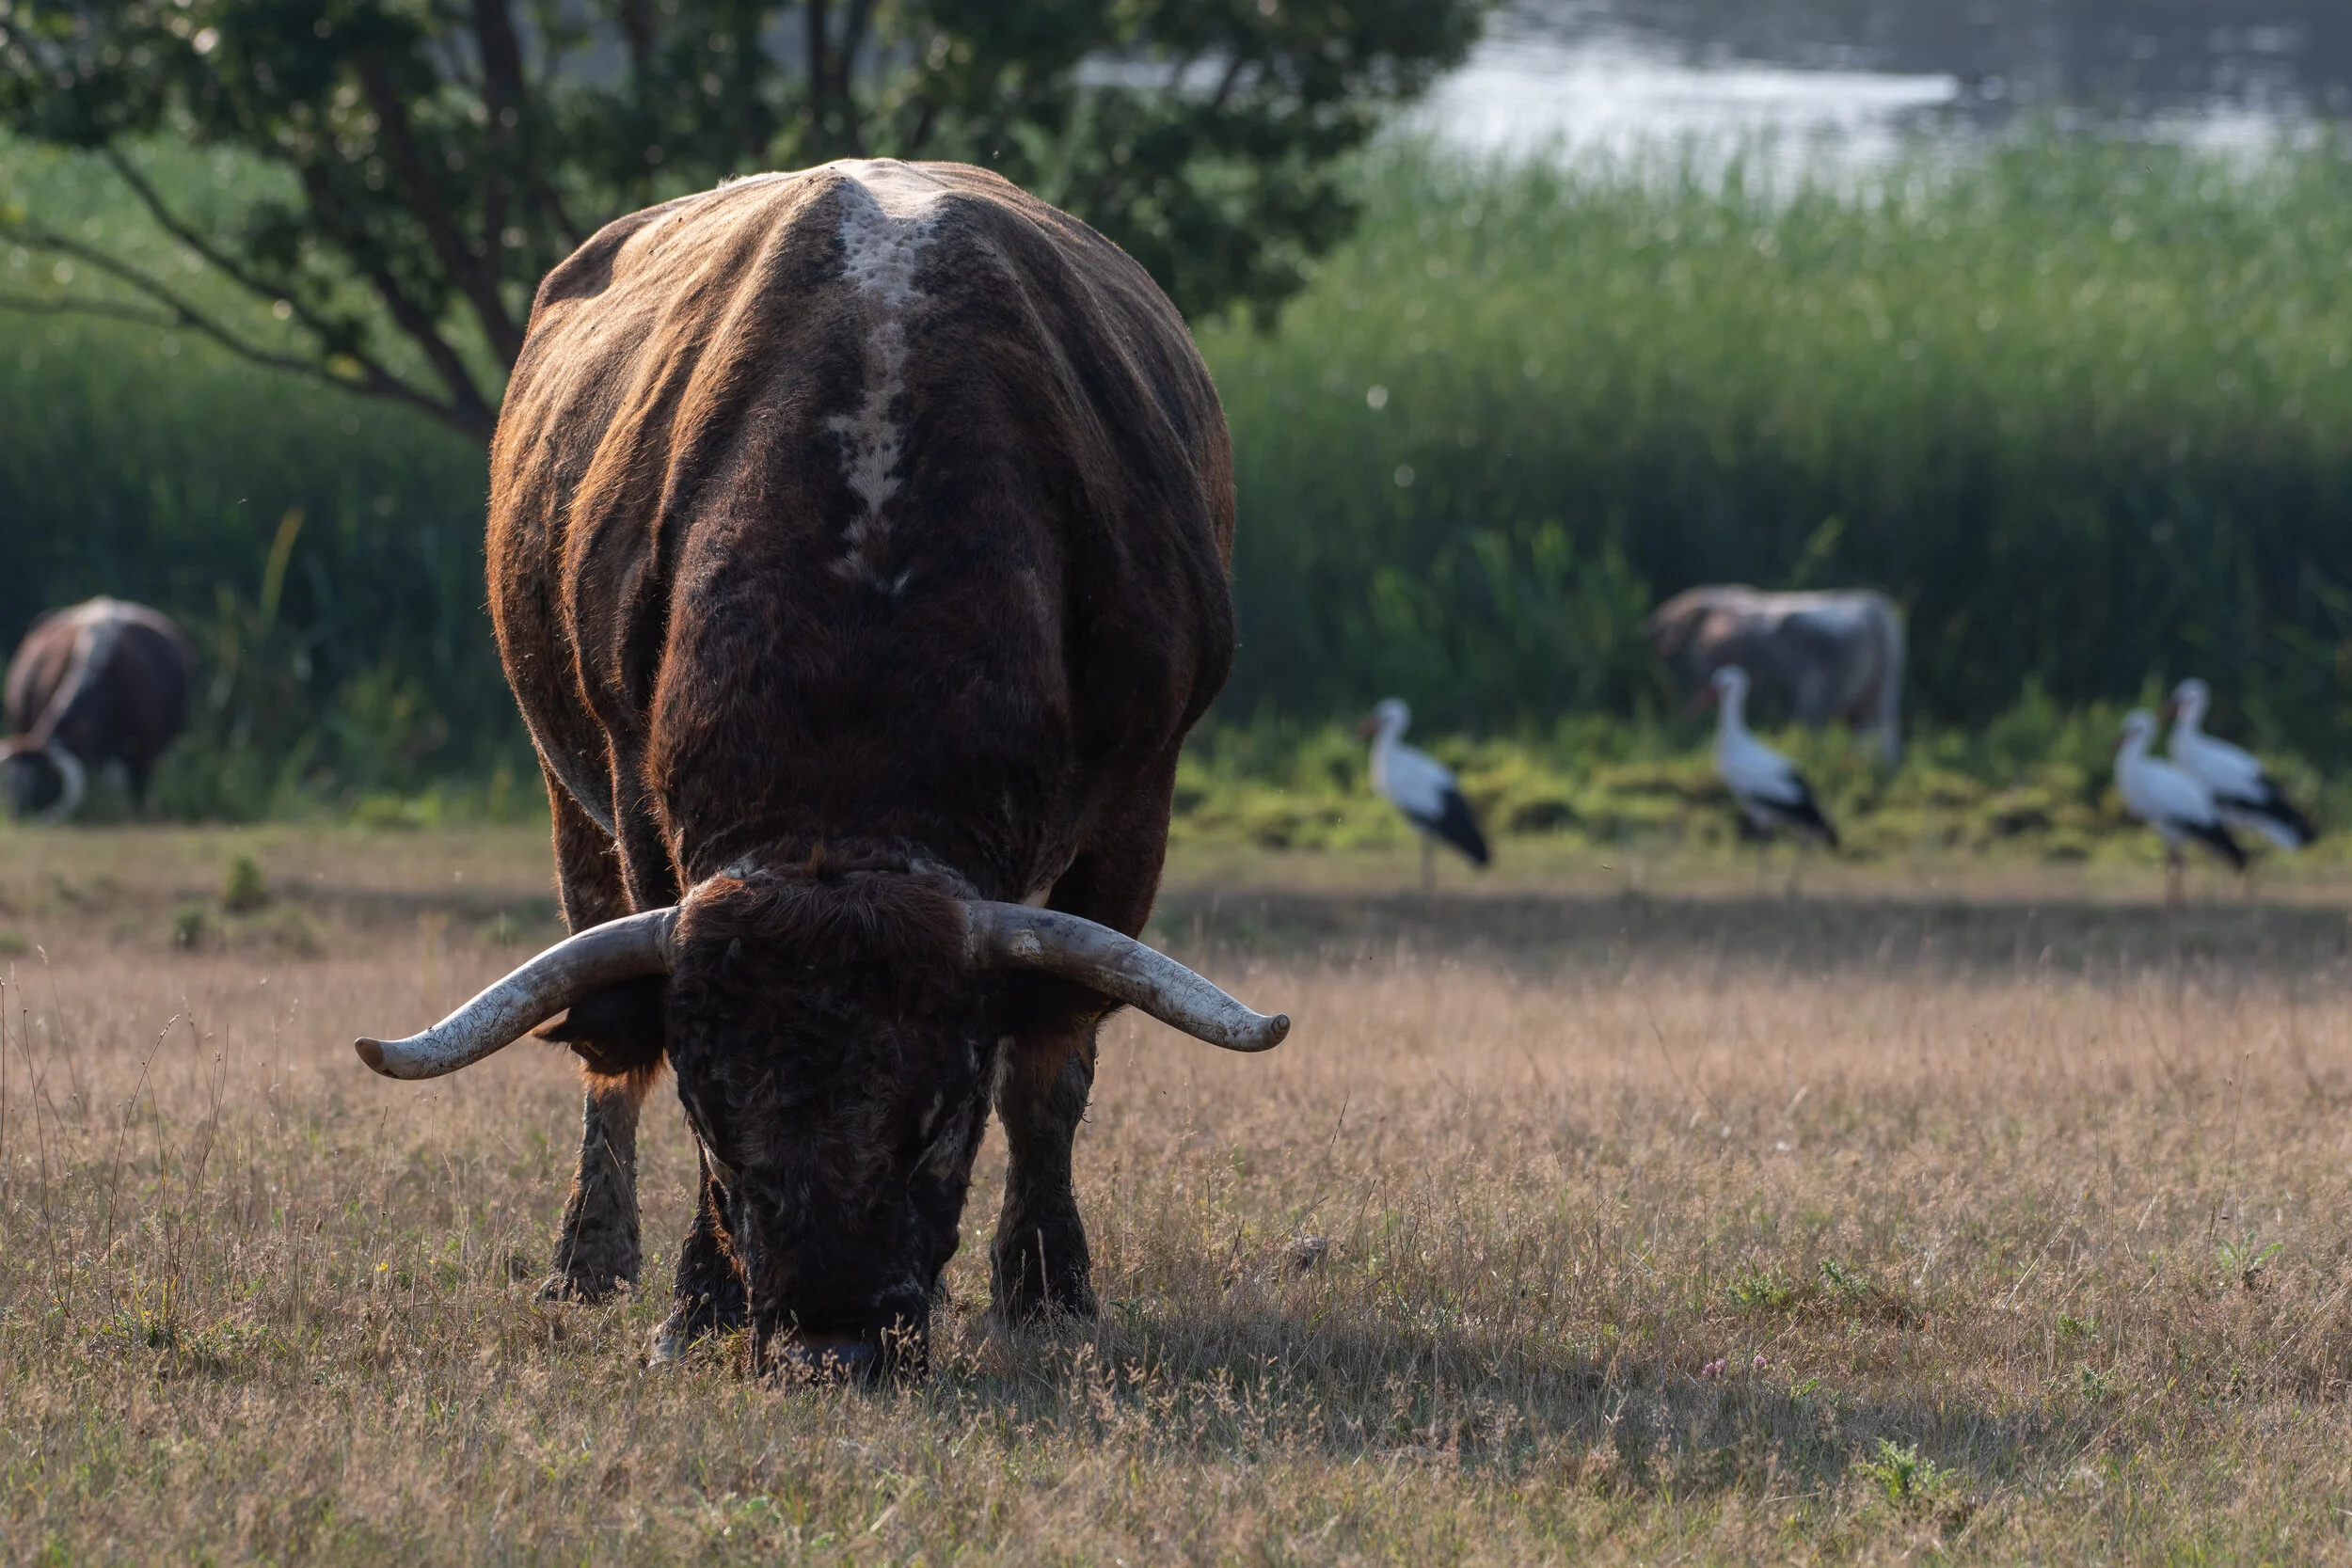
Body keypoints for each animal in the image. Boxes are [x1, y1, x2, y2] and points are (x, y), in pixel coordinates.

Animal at [352, 160, 1289, 1381]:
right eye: (714, 1124)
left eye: (941, 1118)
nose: (831, 1343)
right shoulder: (638, 803)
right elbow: (637, 1041)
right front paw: (696, 1299)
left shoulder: (1135, 811)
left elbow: (1052, 1063)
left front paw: (1049, 1285)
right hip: (570, 804)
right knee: (604, 1042)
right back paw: (589, 1257)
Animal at [1645, 586, 1906, 765]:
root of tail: (1873, 609)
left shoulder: (1691, 686)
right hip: (1878, 700)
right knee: (1881, 747)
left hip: (1815, 702)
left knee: (1812, 739)